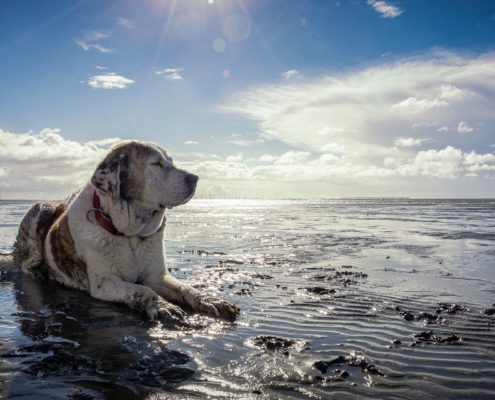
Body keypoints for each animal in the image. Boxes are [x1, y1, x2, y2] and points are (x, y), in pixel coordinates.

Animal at [12, 141, 241, 322]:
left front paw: (211, 300)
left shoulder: (157, 275)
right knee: (24, 264)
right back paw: (40, 273)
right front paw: (163, 306)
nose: (195, 178)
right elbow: (142, 290)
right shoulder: (103, 282)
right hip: (41, 209)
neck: (129, 234)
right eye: (156, 163)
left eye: (171, 162)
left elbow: (185, 288)